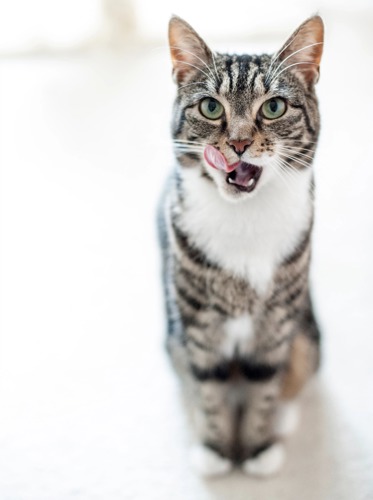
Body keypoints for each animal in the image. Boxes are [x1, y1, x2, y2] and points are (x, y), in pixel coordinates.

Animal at [157, 14, 322, 476]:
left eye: (274, 107)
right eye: (211, 107)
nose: (239, 143)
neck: (244, 216)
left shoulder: (278, 320)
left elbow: (264, 385)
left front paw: (257, 448)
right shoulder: (197, 324)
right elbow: (208, 387)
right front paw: (215, 449)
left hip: (307, 333)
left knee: (297, 370)